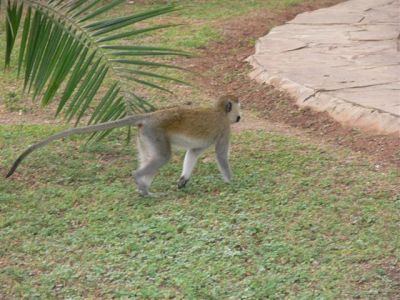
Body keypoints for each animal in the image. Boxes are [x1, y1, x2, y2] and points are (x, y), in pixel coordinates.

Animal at [5, 95, 241, 196]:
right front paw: (232, 182)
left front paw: (183, 179)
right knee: (162, 157)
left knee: (152, 158)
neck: (219, 112)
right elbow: (221, 155)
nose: (240, 117)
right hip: (155, 133)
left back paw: (144, 189)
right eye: (238, 109)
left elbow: (193, 152)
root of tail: (150, 116)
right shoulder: (224, 129)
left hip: (146, 136)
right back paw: (141, 183)